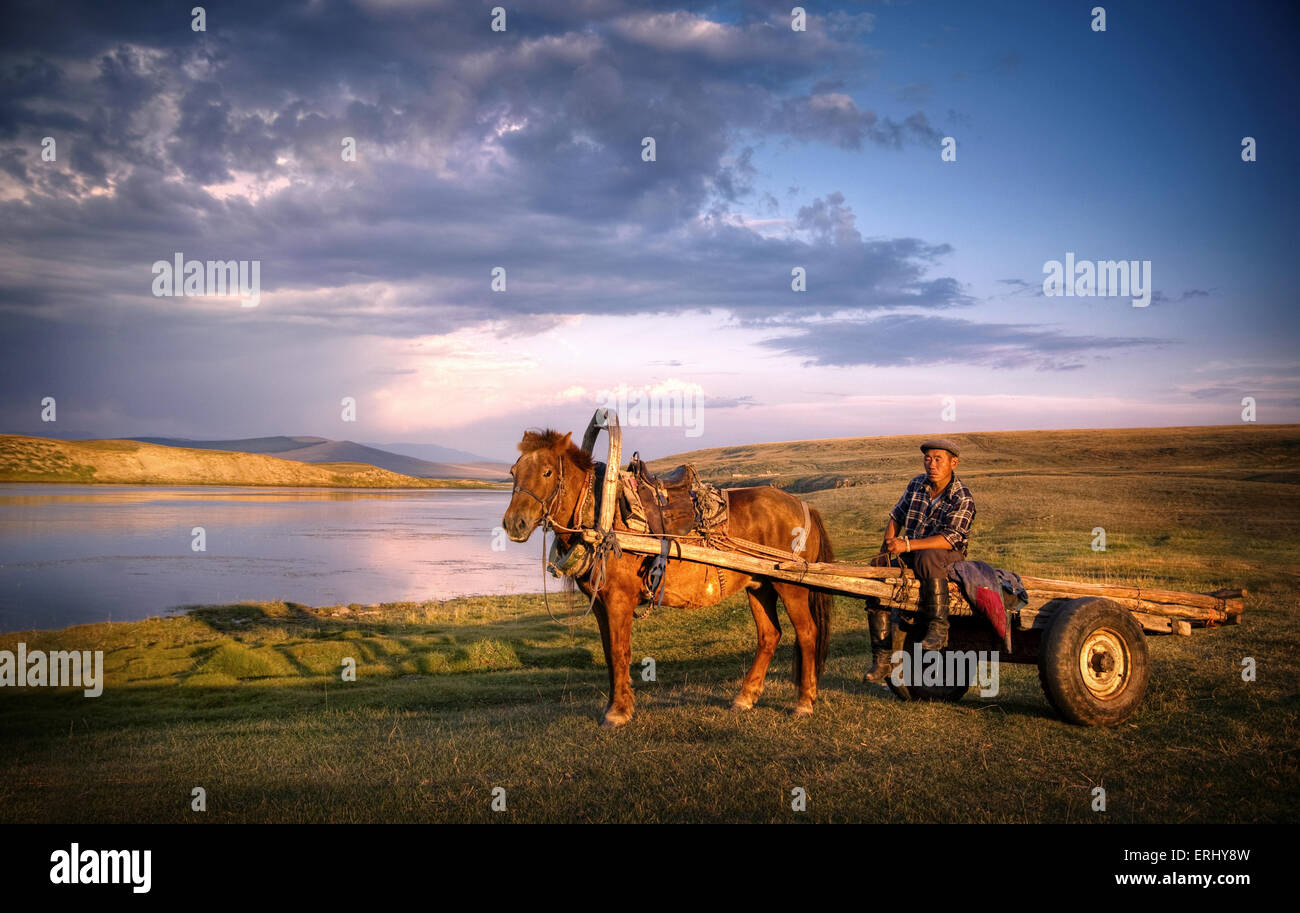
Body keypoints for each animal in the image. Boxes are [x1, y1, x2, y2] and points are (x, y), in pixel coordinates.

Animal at [501, 429, 837, 728]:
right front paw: (614, 706)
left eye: (546, 472)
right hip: (760, 586)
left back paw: (804, 702)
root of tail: (804, 505)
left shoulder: (619, 601)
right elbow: (609, 654)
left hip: (791, 587)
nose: (514, 524)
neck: (602, 516)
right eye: (513, 471)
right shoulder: (599, 604)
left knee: (807, 633)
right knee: (769, 635)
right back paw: (745, 697)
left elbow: (620, 652)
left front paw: (618, 712)